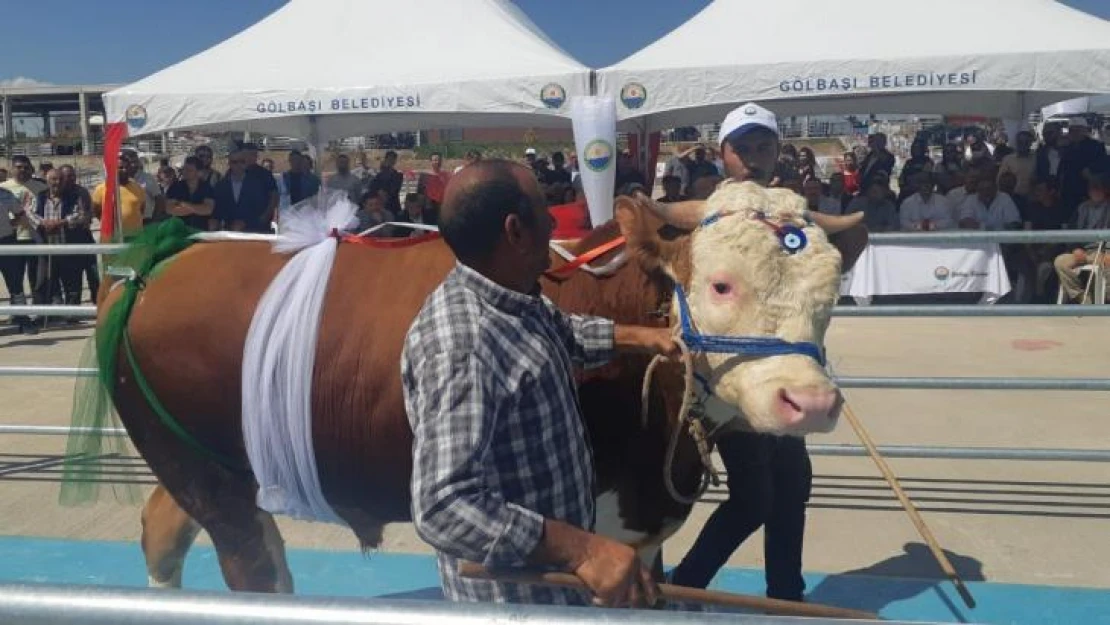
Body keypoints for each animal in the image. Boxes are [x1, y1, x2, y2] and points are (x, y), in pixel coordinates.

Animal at [104, 180, 861, 590]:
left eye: (831, 290)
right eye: (721, 284)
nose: (810, 402)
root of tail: (160, 265)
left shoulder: (640, 527)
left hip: (217, 467)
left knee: (165, 532)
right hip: (209, 479)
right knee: (250, 566)